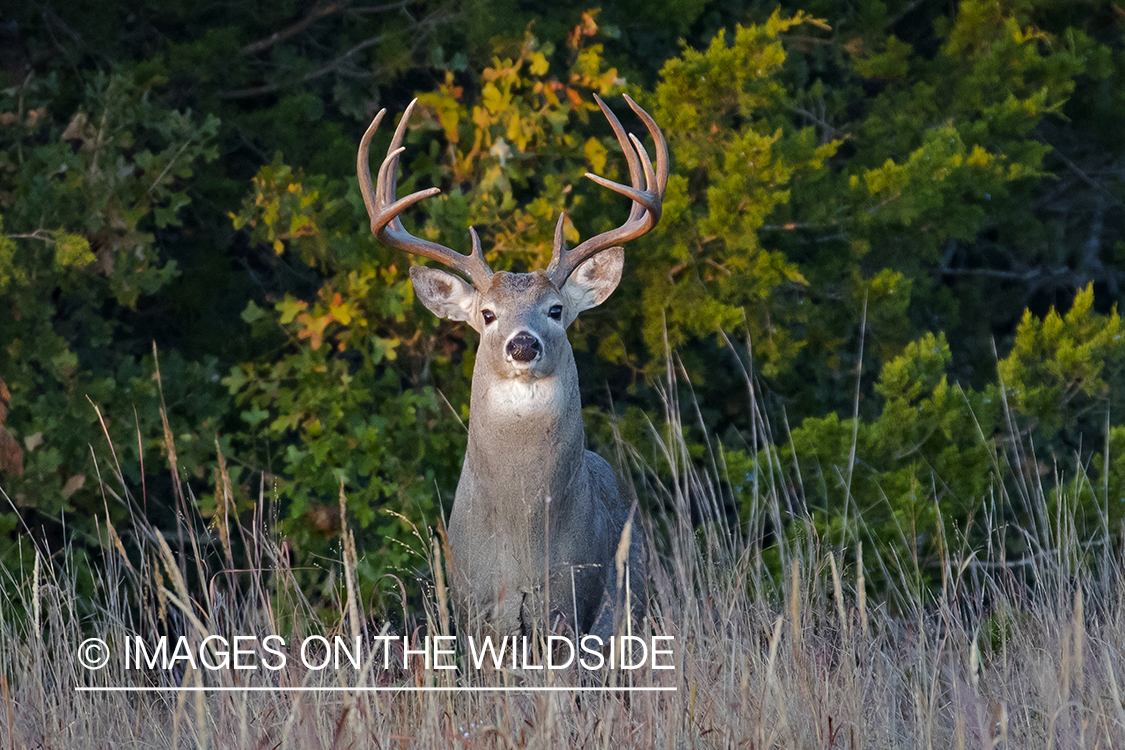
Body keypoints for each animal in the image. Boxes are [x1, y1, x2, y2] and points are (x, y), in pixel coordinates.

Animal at [355, 91, 661, 638]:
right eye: (487, 313)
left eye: (556, 310)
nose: (522, 345)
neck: (522, 547)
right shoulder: (474, 602)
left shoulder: (570, 599)